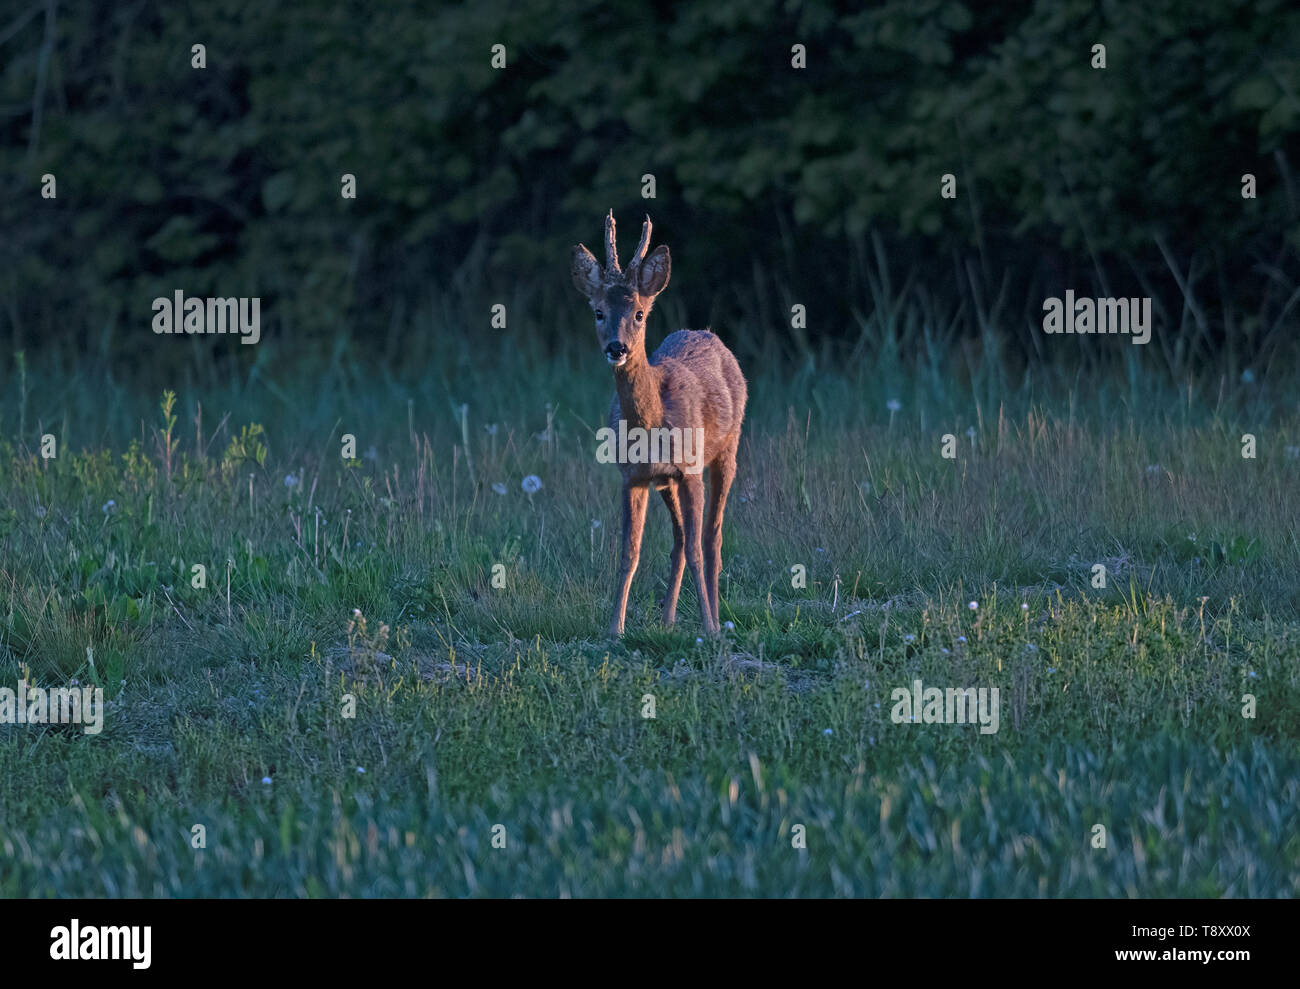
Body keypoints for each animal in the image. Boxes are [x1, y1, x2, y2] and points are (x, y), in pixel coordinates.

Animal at [572, 211, 747, 637]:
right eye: (598, 311)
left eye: (639, 313)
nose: (616, 347)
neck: (651, 426)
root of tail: (708, 334)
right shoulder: (632, 476)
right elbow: (629, 553)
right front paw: (614, 629)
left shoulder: (690, 469)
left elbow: (700, 548)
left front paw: (709, 627)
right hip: (666, 482)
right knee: (681, 539)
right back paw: (667, 619)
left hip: (727, 451)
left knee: (711, 538)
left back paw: (716, 617)